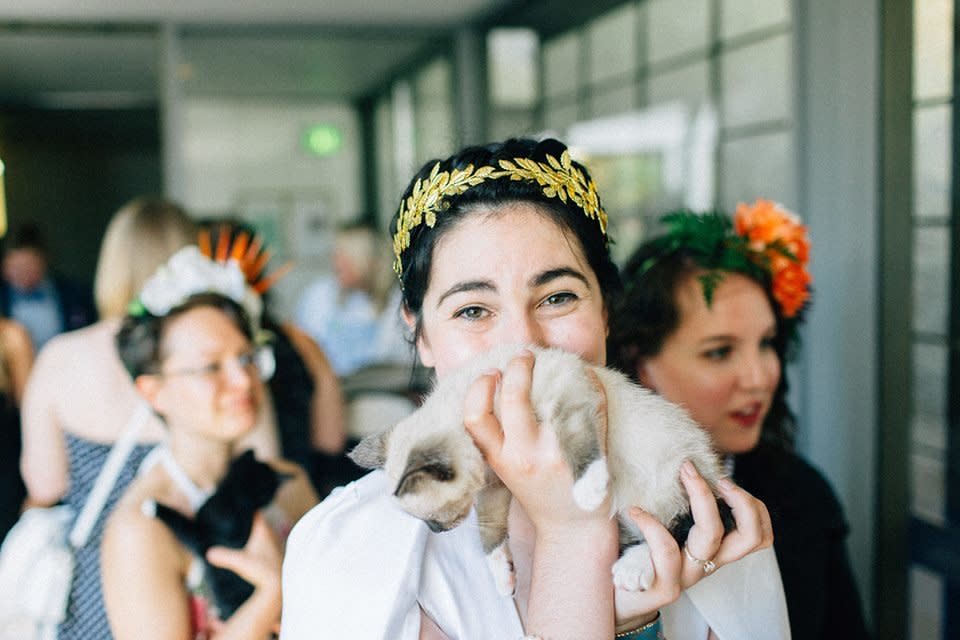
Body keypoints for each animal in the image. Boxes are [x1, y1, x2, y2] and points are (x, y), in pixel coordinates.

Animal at [352, 344, 728, 596]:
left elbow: (578, 442)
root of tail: (712, 466)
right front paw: (502, 578)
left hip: (658, 486)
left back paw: (630, 569)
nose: (436, 531)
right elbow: (489, 532)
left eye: (432, 517)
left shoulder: (567, 395)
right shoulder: (495, 482)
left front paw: (589, 488)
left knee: (677, 529)